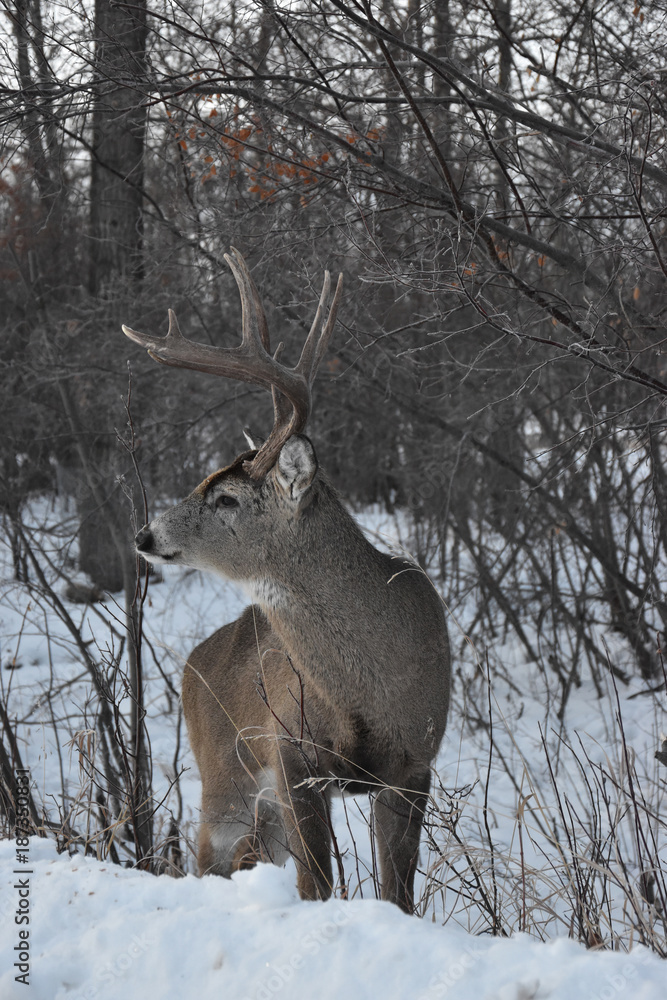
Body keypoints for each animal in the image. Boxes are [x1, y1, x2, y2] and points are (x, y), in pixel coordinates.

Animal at [123, 249, 451, 913]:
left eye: (225, 497)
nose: (145, 534)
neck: (367, 694)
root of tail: (195, 660)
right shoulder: (293, 754)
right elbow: (316, 886)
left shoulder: (414, 763)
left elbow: (396, 893)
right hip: (224, 770)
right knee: (206, 859)